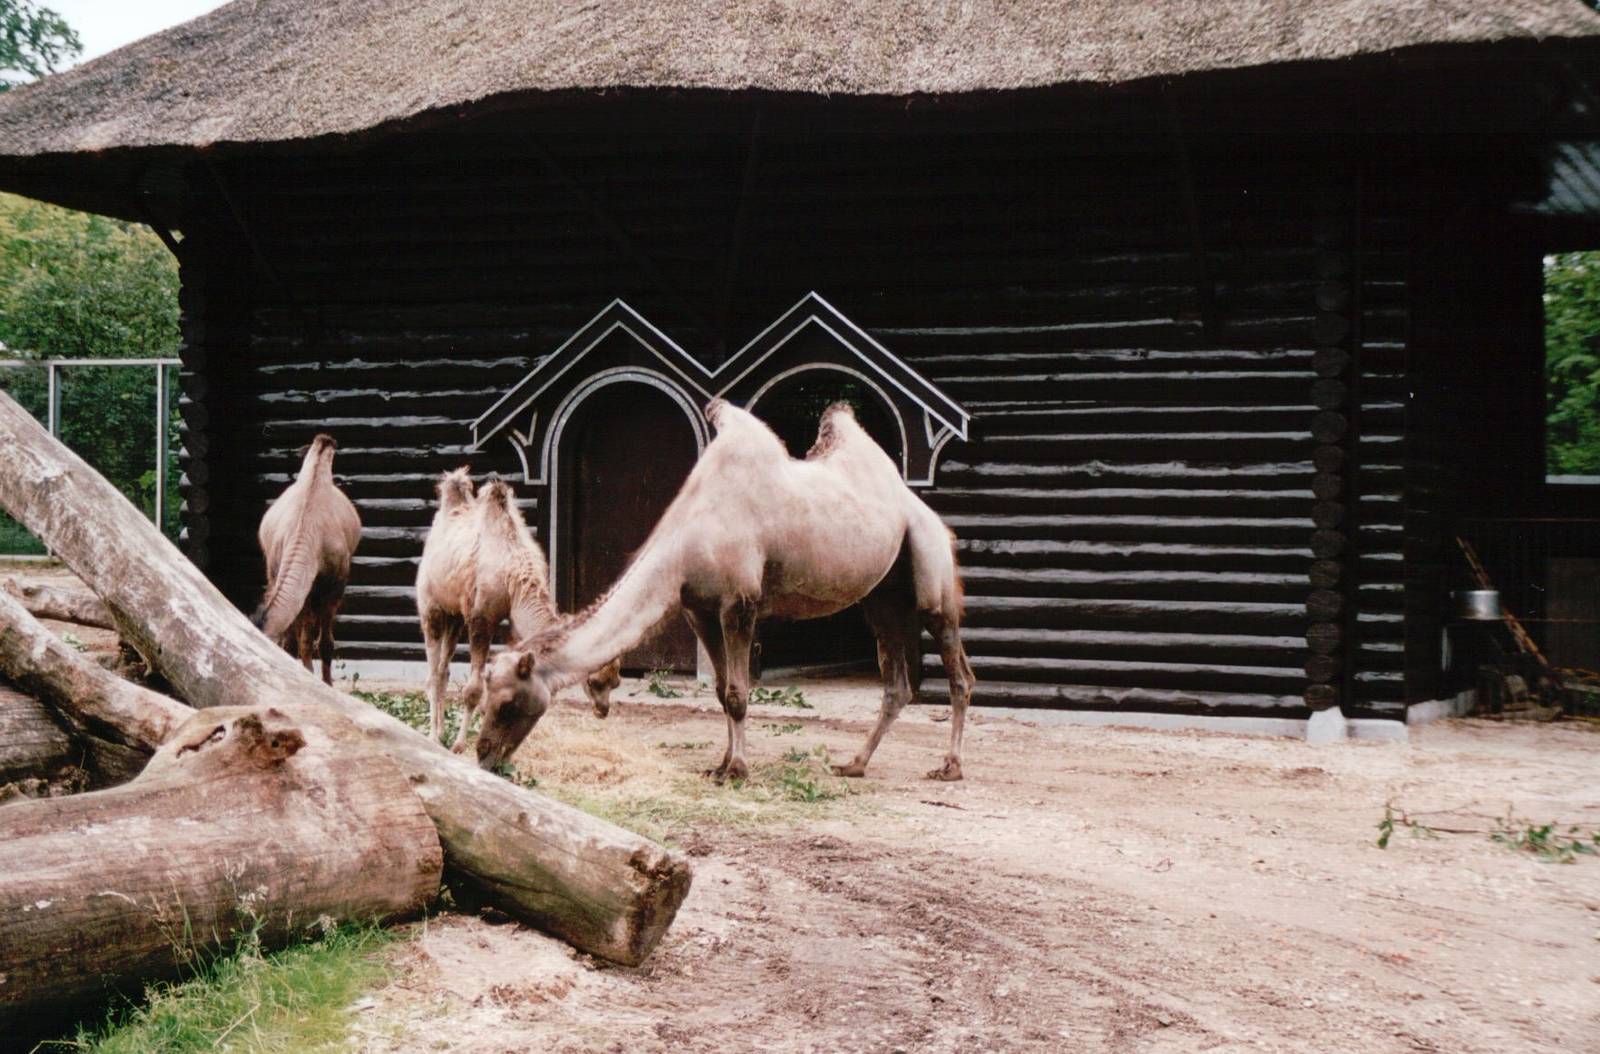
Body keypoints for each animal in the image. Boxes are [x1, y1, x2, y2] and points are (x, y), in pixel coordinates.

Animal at [414, 469, 620, 751]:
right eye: (594, 681)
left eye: (616, 682)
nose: (603, 709)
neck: (513, 574)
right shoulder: (481, 618)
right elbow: (473, 690)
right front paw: (459, 746)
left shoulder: (513, 621)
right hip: (431, 606)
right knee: (433, 673)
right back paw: (434, 737)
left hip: (454, 616)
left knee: (443, 670)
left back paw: (441, 731)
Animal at [476, 399, 976, 780]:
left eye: (507, 704)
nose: (483, 755)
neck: (688, 539)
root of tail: (923, 509)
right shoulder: (698, 608)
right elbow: (720, 691)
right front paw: (720, 764)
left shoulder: (741, 603)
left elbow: (737, 692)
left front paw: (737, 769)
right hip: (884, 597)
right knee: (897, 685)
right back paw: (854, 764)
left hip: (930, 568)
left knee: (957, 669)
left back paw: (949, 767)